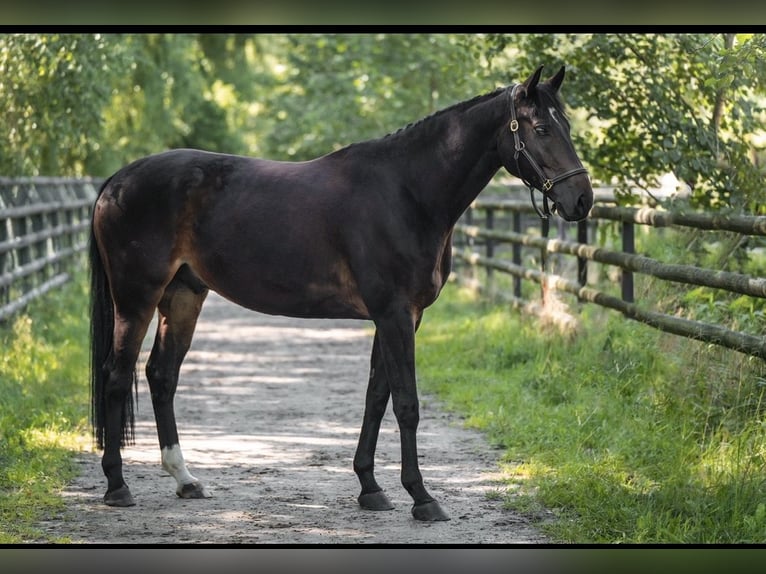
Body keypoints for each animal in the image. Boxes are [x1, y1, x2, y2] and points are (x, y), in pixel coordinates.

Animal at [89, 65, 592, 522]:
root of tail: (116, 181)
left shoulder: (402, 317)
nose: (582, 200)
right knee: (117, 375)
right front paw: (422, 498)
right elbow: (406, 404)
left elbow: (376, 398)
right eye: (542, 128)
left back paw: (185, 479)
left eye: (566, 125)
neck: (407, 193)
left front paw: (371, 488)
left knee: (161, 375)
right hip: (136, 298)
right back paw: (117, 486)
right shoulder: (393, 314)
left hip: (183, 296)